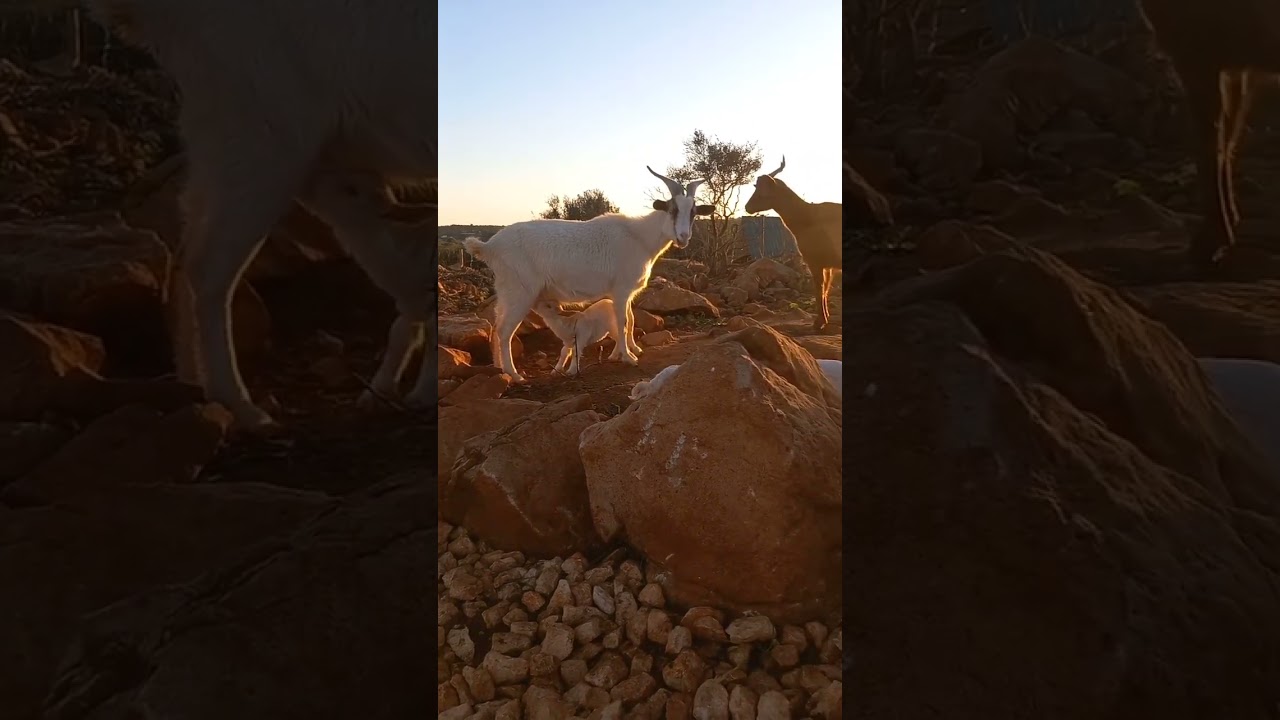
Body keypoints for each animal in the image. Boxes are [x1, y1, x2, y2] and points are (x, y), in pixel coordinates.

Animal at [301, 171, 438, 410]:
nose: (305, 185)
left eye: (351, 190)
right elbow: (398, 335)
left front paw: (422, 395)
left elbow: (433, 337)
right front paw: (377, 392)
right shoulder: (410, 301)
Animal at [464, 167, 713, 383]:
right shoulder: (621, 289)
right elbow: (623, 321)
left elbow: (630, 318)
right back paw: (515, 375)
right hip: (521, 291)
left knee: (496, 325)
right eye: (672, 210)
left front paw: (628, 350)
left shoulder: (622, 292)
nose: (683, 237)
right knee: (505, 330)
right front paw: (628, 358)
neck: (639, 237)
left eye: (693, 212)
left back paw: (499, 368)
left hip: (506, 290)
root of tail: (490, 246)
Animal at [743, 157, 843, 332]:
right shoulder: (827, 266)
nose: (747, 207)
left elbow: (819, 288)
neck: (807, 216)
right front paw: (824, 319)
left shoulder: (815, 261)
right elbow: (825, 288)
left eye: (763, 191)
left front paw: (819, 322)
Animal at [1136, 0, 1280, 269]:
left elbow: (1208, 148)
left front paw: (1208, 242)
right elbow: (1226, 142)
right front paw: (1228, 225)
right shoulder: (1234, 64)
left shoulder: (1198, 52)